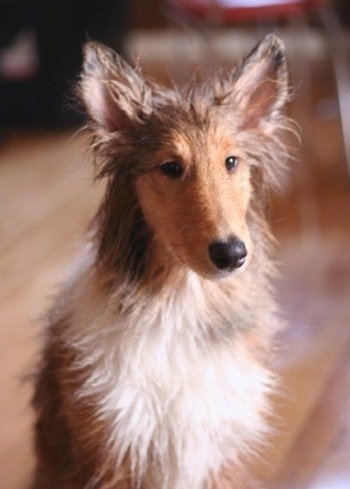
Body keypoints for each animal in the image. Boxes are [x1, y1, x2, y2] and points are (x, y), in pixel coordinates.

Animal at [30, 34, 292, 488]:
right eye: (170, 166)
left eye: (232, 161)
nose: (232, 255)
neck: (181, 301)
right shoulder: (115, 457)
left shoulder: (218, 460)